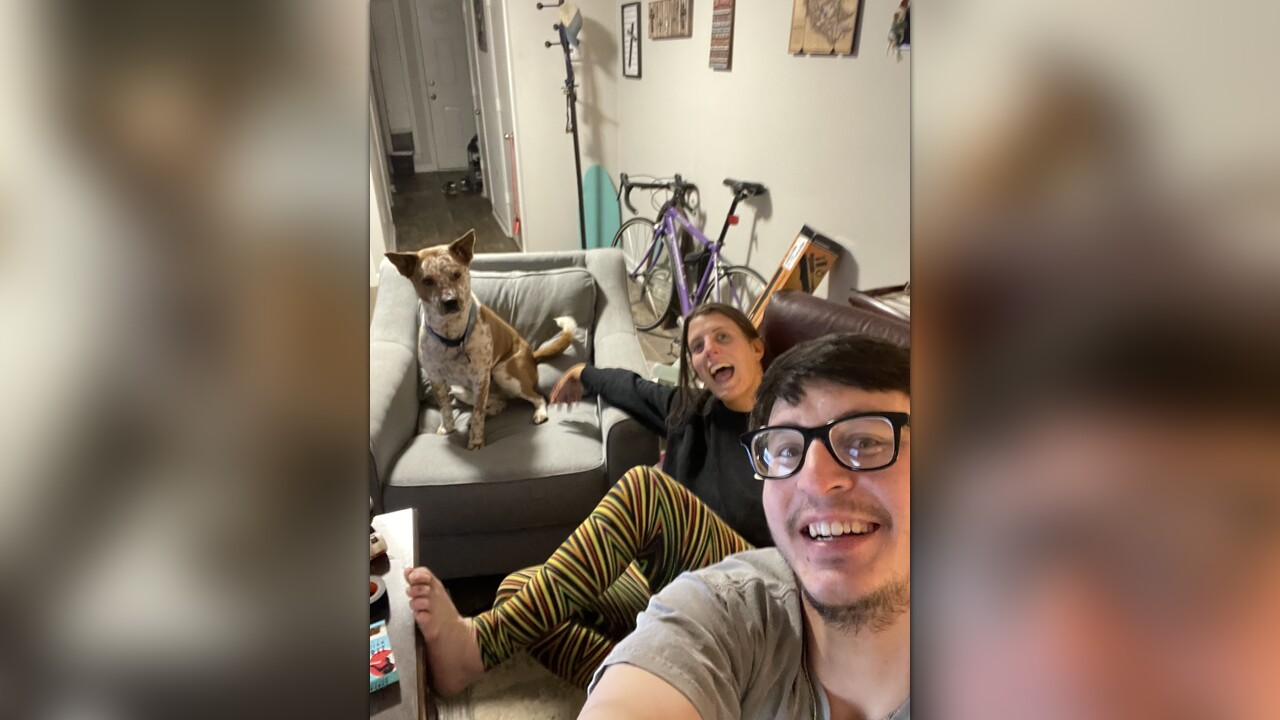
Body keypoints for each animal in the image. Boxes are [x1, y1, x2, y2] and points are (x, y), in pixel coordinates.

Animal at [387, 230, 576, 450]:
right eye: (427, 281)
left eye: (456, 274)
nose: (450, 301)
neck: (451, 335)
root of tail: (531, 354)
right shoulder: (436, 379)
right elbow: (445, 408)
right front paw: (448, 428)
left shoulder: (480, 379)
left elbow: (478, 414)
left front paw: (476, 442)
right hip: (460, 390)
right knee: (500, 403)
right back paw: (483, 414)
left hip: (503, 374)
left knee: (538, 397)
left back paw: (539, 413)